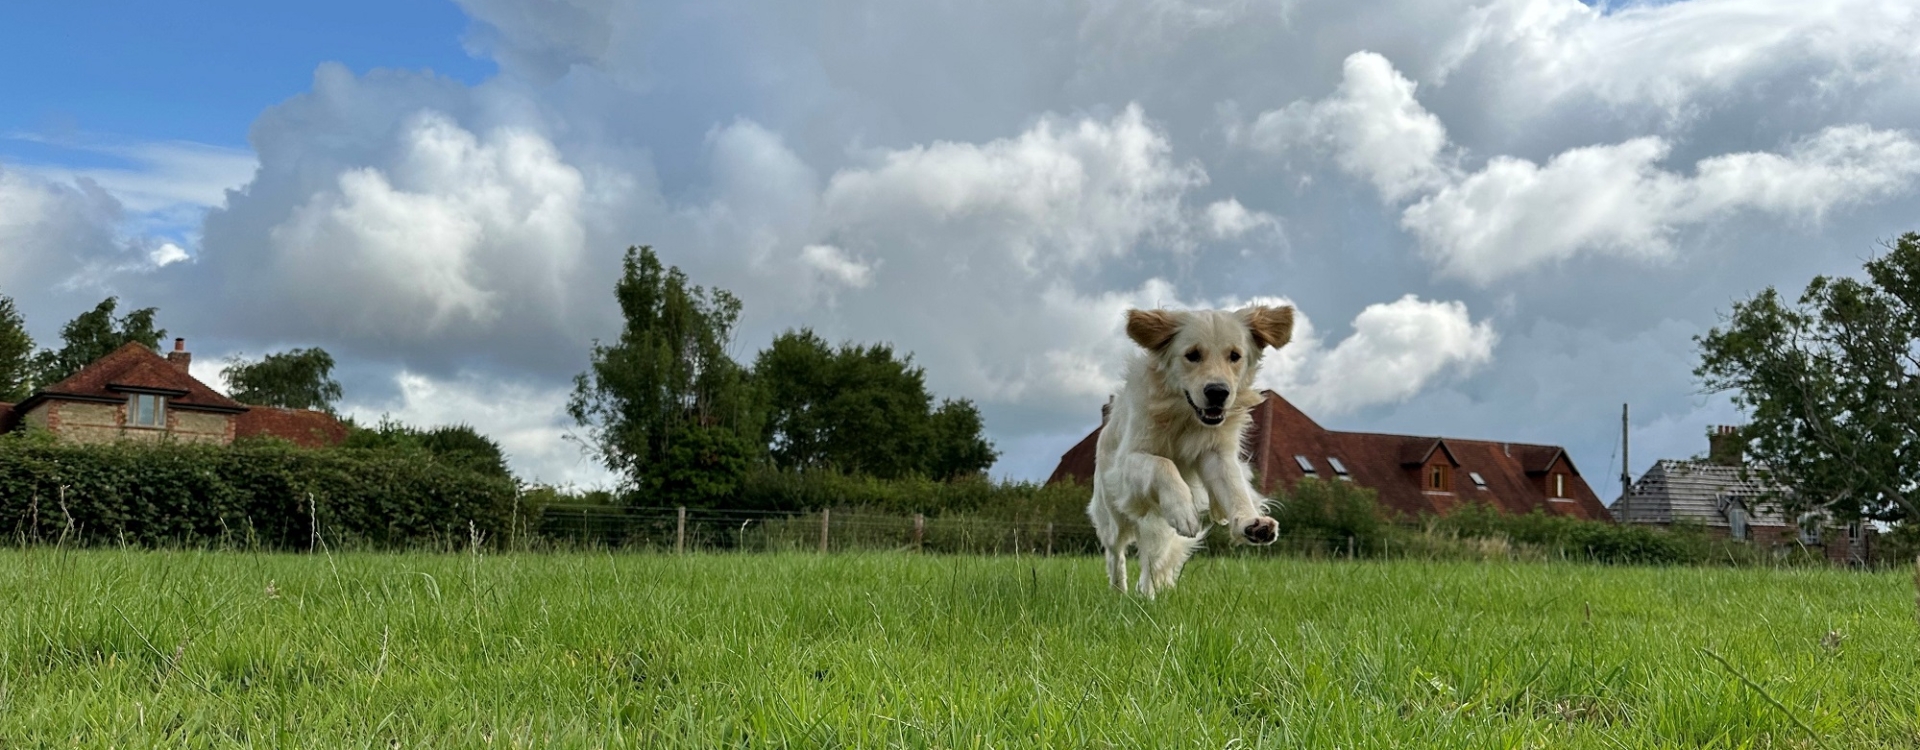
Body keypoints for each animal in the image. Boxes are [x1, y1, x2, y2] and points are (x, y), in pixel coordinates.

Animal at [1090, 304, 1297, 598]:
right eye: (1192, 355)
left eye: (1235, 356)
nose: (1218, 392)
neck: (1185, 416)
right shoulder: (1126, 463)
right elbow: (1162, 463)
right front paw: (1183, 510)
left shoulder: (1215, 454)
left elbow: (1234, 488)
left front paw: (1250, 523)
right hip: (1112, 515)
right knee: (1115, 553)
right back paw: (1119, 591)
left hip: (1156, 529)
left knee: (1151, 562)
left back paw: (1146, 596)